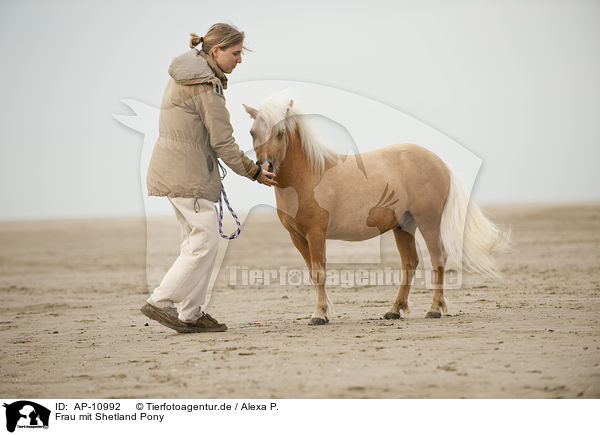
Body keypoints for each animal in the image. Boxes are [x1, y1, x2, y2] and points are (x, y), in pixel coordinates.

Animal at [241, 96, 508, 328]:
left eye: (280, 133)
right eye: (252, 132)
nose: (265, 168)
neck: (309, 174)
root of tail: (439, 162)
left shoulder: (316, 234)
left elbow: (319, 273)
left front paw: (319, 314)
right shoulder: (297, 237)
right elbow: (312, 273)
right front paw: (323, 312)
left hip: (428, 222)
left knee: (438, 259)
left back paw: (434, 309)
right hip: (404, 226)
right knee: (410, 262)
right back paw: (395, 310)